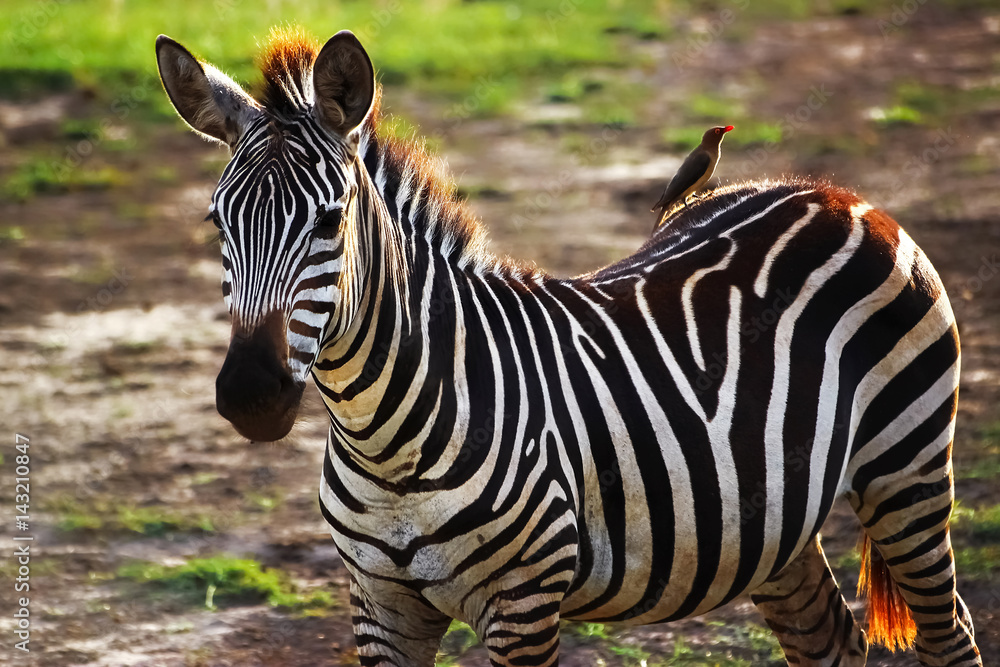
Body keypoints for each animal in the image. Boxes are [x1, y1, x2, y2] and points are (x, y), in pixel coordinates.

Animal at [155, 26, 982, 667]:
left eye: (330, 220)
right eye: (216, 222)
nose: (250, 395)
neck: (384, 440)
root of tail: (831, 192)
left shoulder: (522, 603)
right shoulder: (379, 604)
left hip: (906, 468)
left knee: (951, 633)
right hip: (774, 520)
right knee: (830, 638)